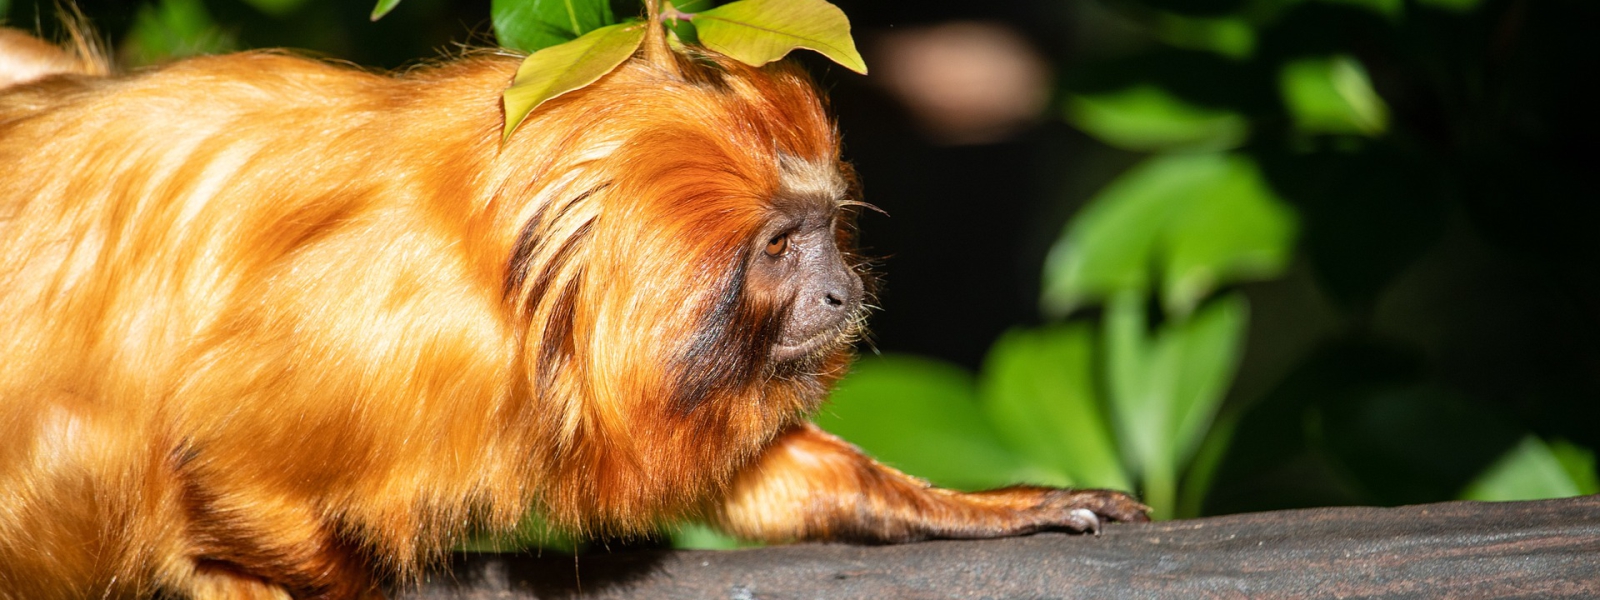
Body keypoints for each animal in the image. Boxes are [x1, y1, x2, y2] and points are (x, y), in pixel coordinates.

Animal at [0, 21, 1147, 600]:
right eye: (780, 249)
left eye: (824, 229)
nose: (840, 291)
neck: (535, 298)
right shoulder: (398, 329)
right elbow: (220, 452)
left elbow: (748, 479)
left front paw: (988, 508)